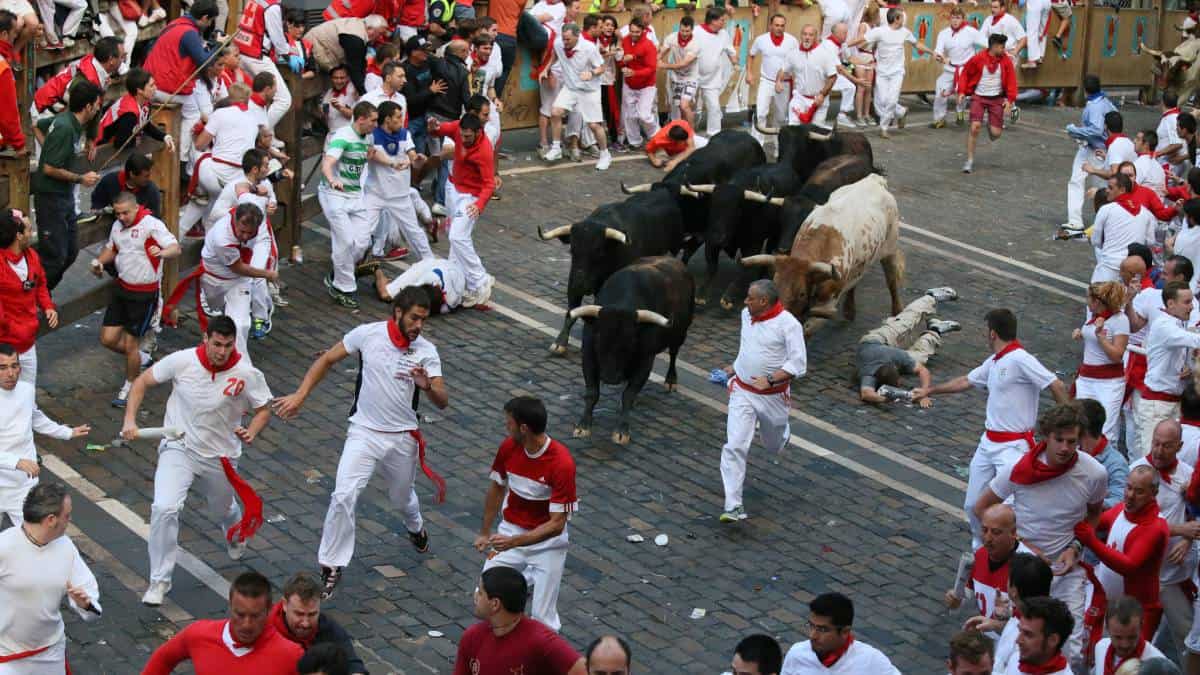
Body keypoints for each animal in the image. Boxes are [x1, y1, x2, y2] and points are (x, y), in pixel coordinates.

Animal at [571, 254, 696, 444]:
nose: (610, 377)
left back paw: (671, 380)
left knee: (674, 353)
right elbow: (592, 392)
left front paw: (622, 431)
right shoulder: (589, 355)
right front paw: (583, 426)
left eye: (631, 342)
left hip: (680, 333)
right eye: (599, 337)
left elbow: (628, 395)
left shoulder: (645, 361)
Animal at [739, 171, 902, 331]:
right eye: (776, 285)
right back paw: (850, 311)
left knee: (892, 281)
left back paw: (897, 315)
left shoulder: (826, 307)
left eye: (801, 294)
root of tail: (874, 179)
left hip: (890, 249)